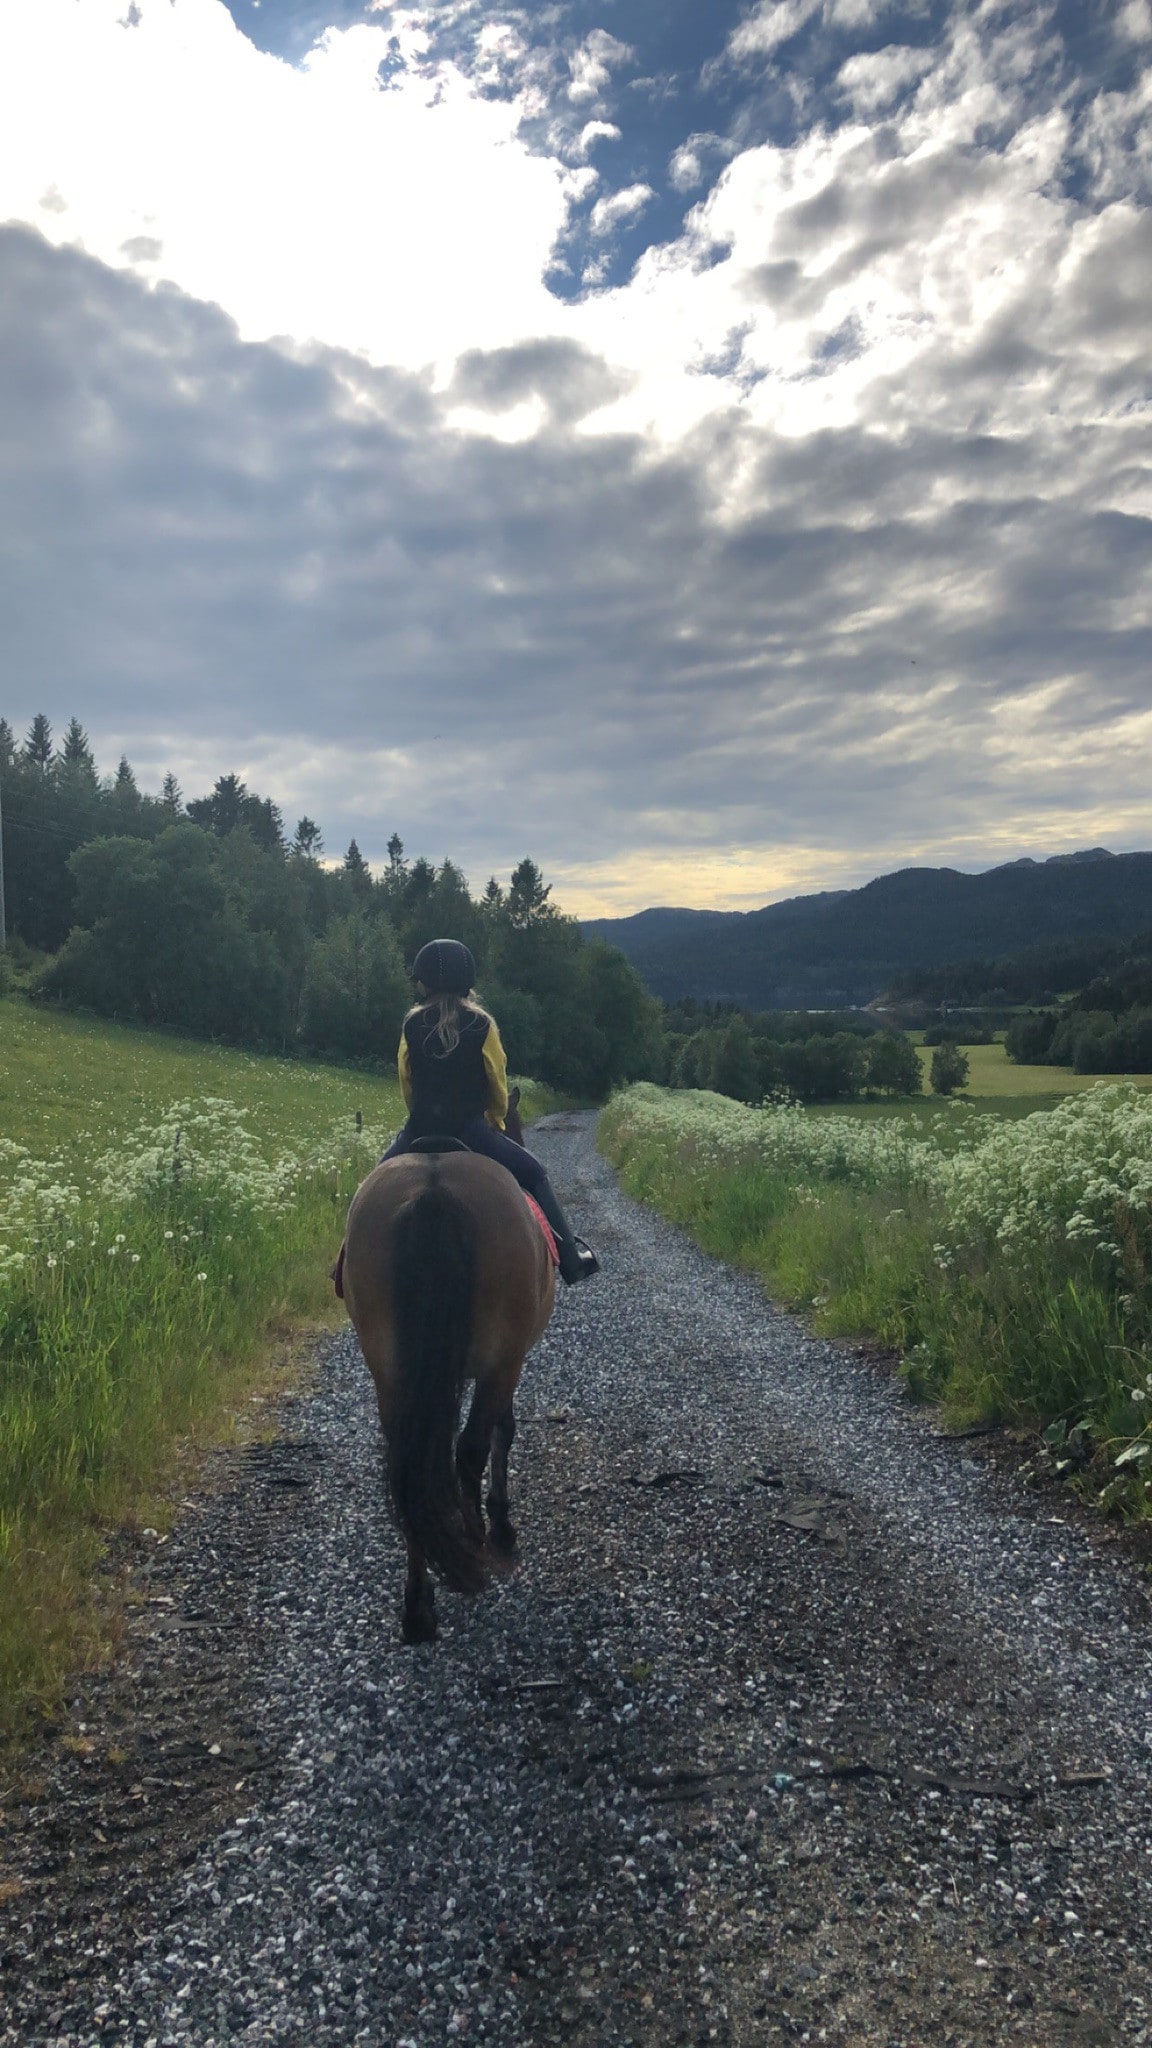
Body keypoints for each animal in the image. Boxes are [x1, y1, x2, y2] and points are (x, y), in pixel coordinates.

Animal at [336, 1155, 557, 1646]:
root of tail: (432, 1189)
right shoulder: (509, 1363)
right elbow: (502, 1434)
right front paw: (502, 1524)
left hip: (391, 1373)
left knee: (411, 1468)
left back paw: (418, 1608)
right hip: (498, 1364)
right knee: (468, 1451)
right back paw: (476, 1544)